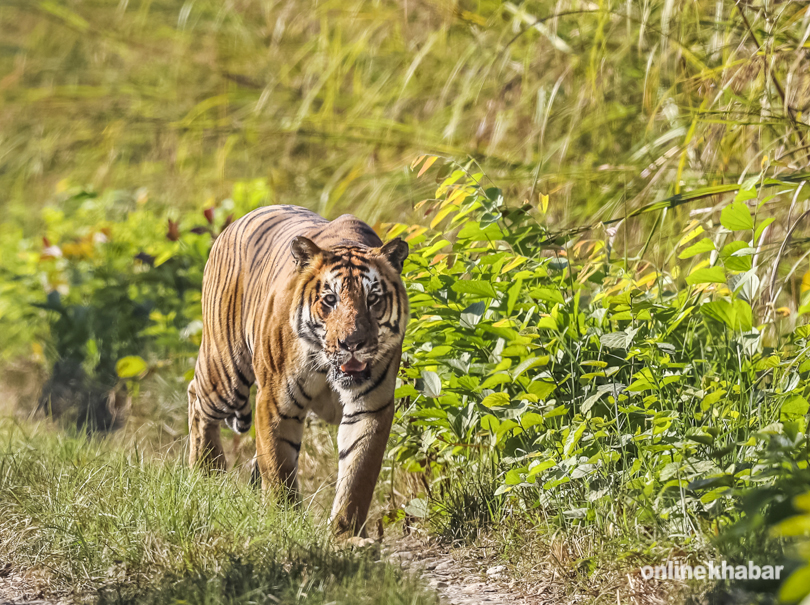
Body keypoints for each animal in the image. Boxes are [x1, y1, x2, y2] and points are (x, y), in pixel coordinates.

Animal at [186, 203, 408, 532]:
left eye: (373, 299)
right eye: (330, 300)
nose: (352, 343)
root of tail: (231, 226)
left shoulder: (370, 406)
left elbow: (358, 472)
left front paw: (345, 533)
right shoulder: (275, 402)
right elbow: (278, 468)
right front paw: (282, 521)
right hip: (226, 376)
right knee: (197, 398)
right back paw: (207, 474)